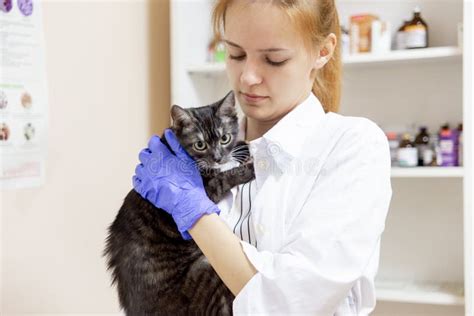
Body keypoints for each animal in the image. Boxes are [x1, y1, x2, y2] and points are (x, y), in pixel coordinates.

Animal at [104, 90, 256, 314]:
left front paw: (243, 147)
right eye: (200, 145)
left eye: (225, 138)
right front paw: (248, 168)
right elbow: (225, 176)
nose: (218, 158)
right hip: (207, 268)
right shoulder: (207, 190)